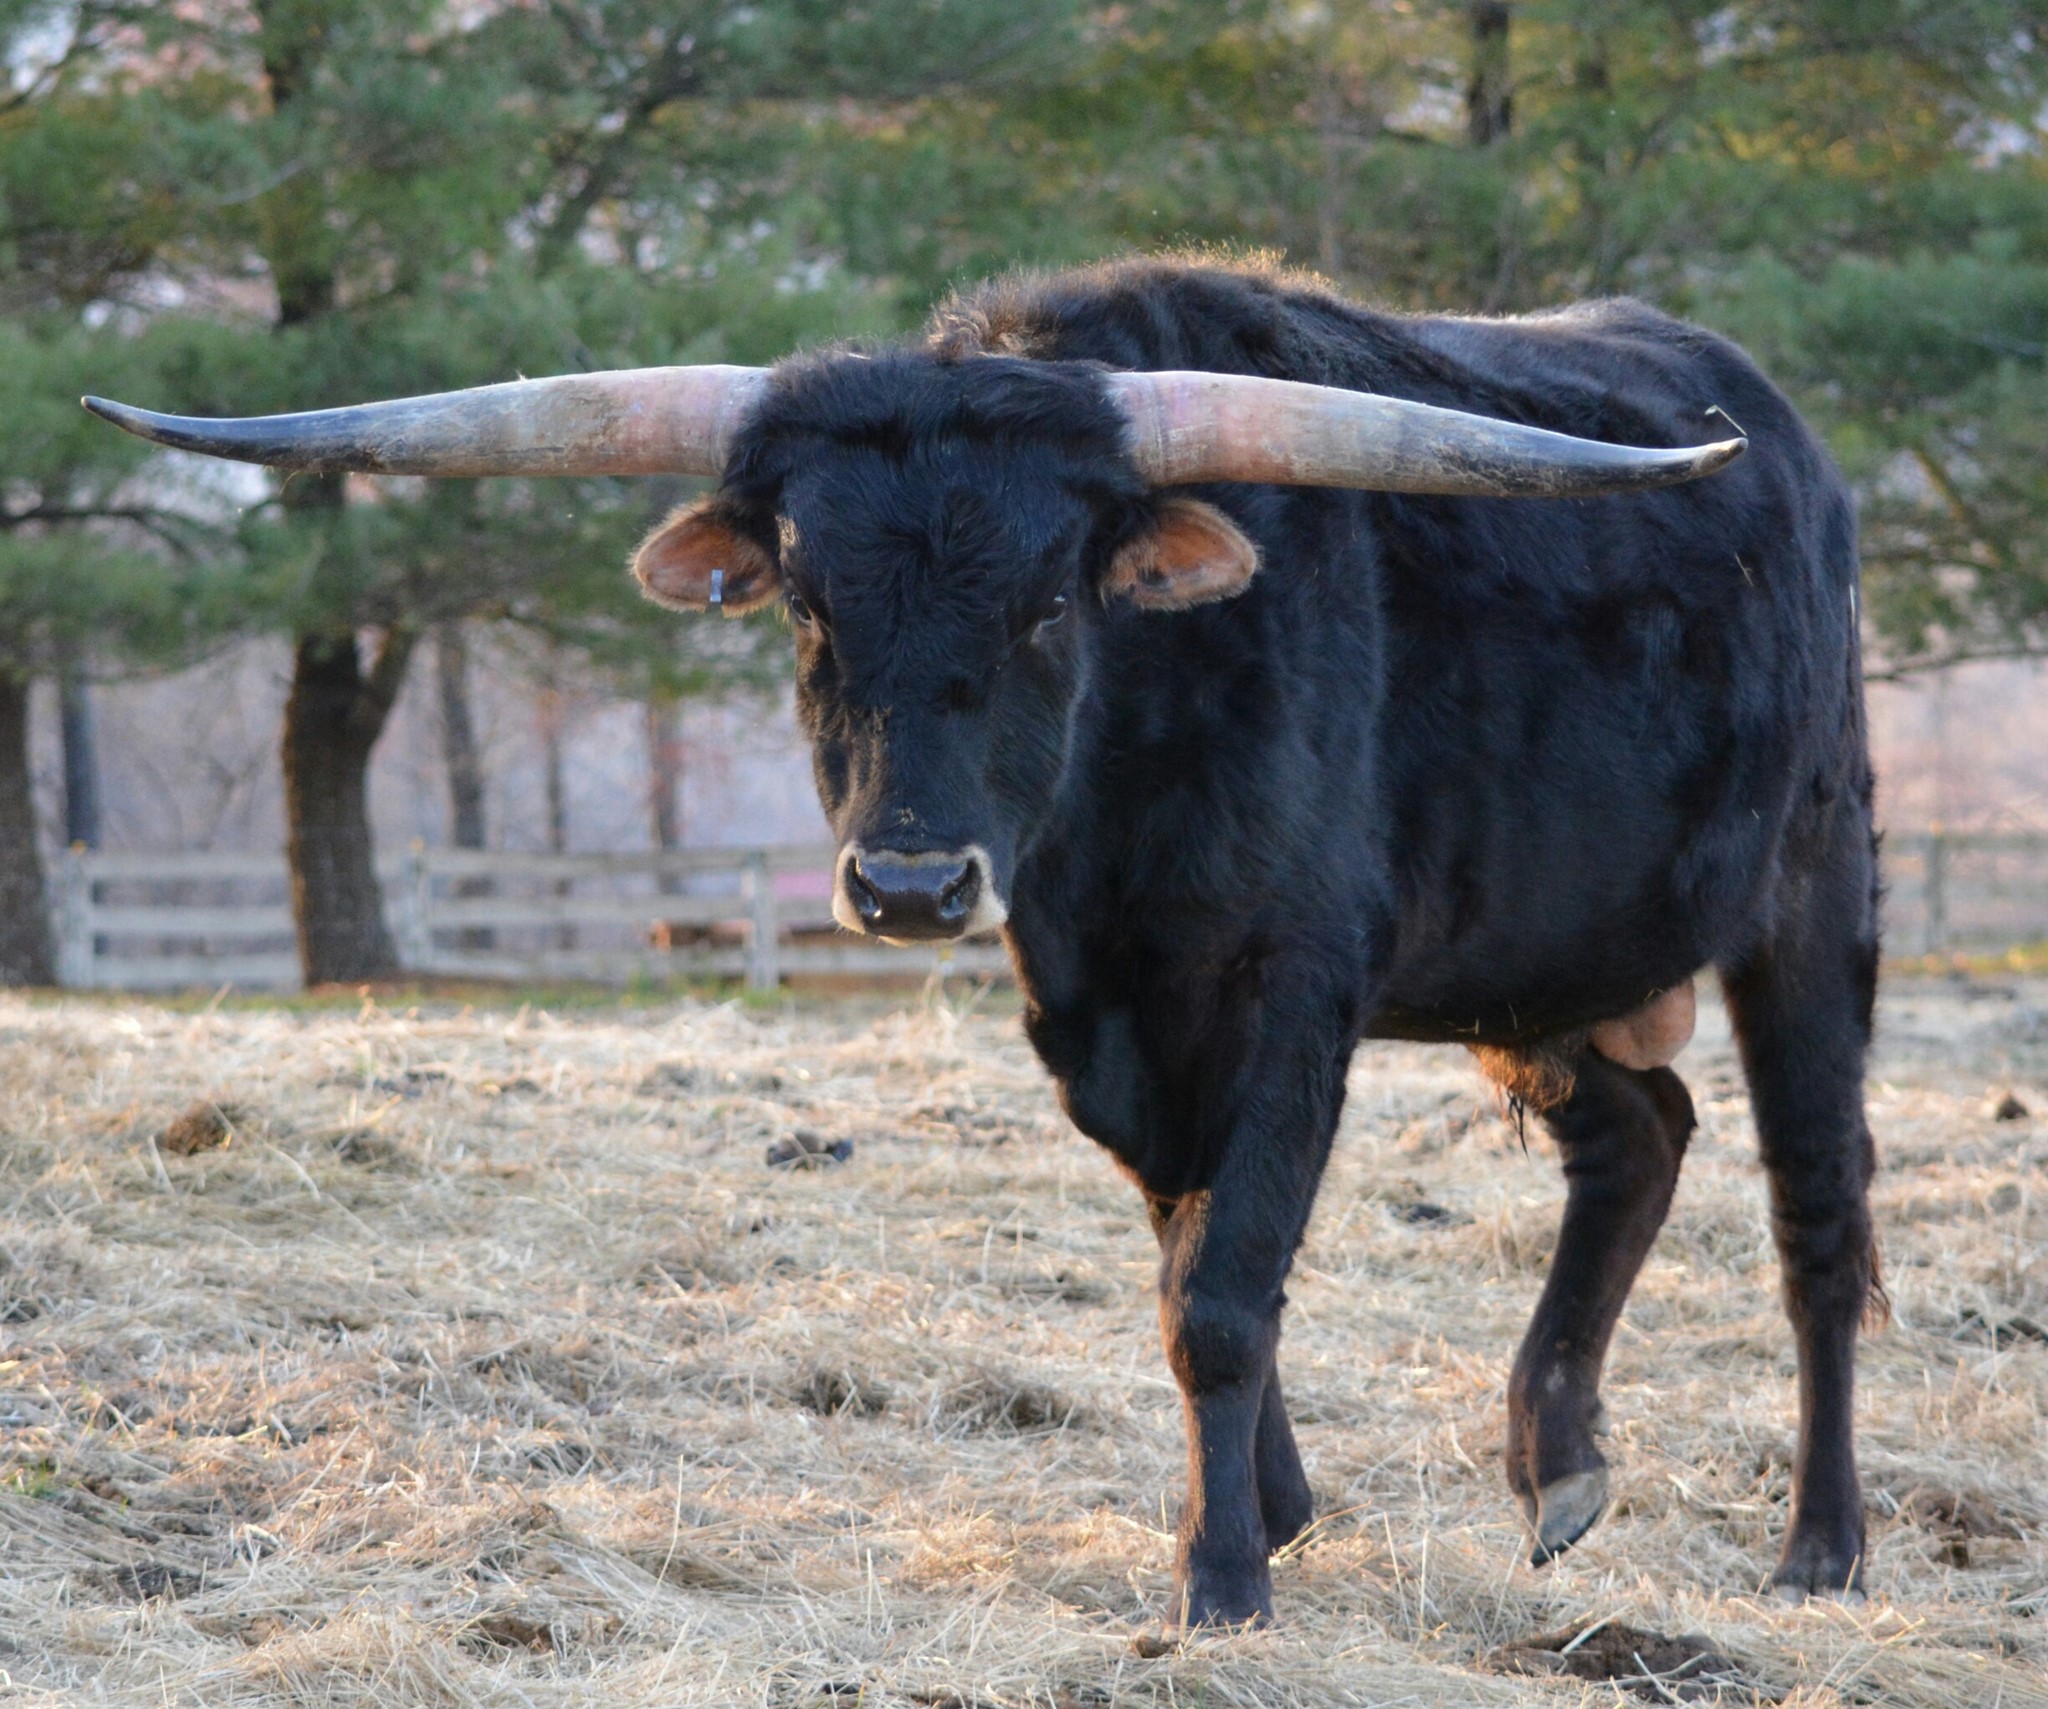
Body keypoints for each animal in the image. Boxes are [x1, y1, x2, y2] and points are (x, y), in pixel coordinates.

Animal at [86, 256, 1880, 1627]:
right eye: (809, 605)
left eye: (1047, 604)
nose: (907, 885)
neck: (1124, 807)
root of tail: (1771, 435)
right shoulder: (1111, 1024)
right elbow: (1185, 1259)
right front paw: (1271, 1505)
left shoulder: (1293, 996)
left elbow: (1222, 1289)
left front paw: (1222, 1574)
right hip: (1542, 960)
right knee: (1637, 1136)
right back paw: (1558, 1461)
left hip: (1810, 902)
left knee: (1814, 1220)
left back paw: (1819, 1547)